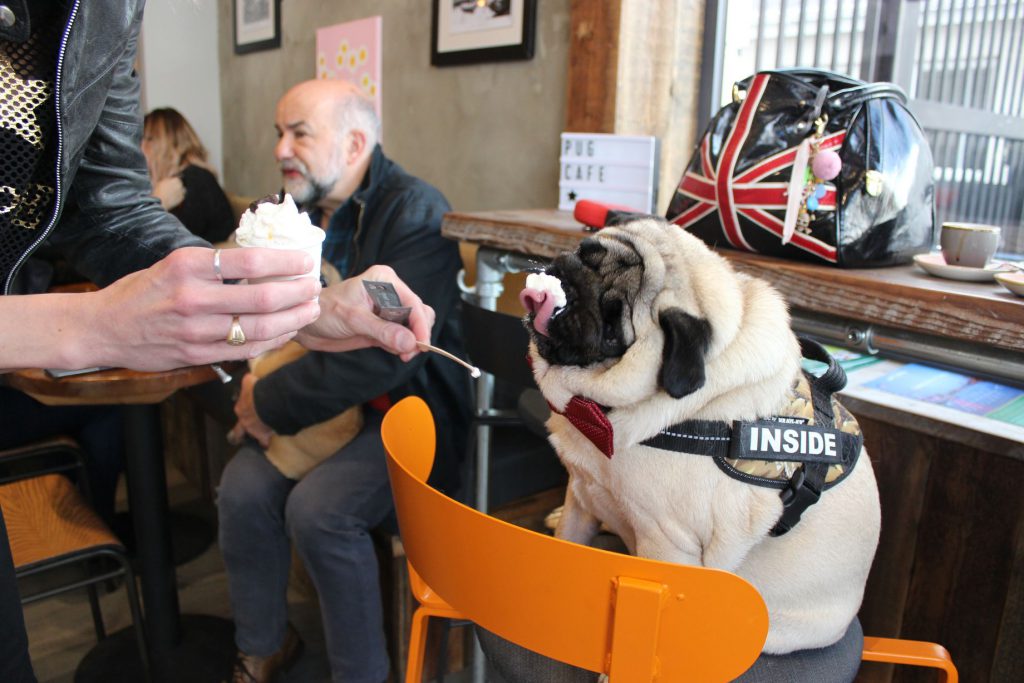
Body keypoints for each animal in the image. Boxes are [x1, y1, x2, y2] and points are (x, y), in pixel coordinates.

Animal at [520, 218, 880, 651]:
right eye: (586, 252)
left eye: (611, 328)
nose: (568, 289)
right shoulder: (582, 491)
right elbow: (568, 536)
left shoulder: (667, 545)